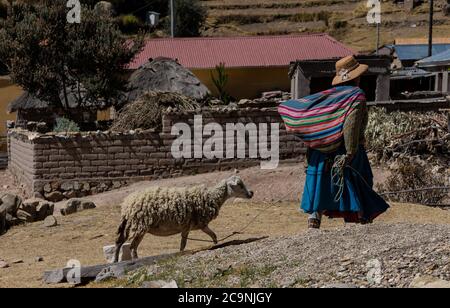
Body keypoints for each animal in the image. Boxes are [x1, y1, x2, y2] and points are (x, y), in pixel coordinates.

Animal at [112, 176, 253, 262]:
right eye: (239, 185)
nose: (251, 194)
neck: (211, 197)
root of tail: (126, 205)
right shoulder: (193, 225)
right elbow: (185, 244)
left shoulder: (194, 225)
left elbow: (212, 235)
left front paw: (215, 244)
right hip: (140, 226)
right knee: (132, 247)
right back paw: (135, 260)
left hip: (131, 225)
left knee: (119, 243)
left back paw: (115, 261)